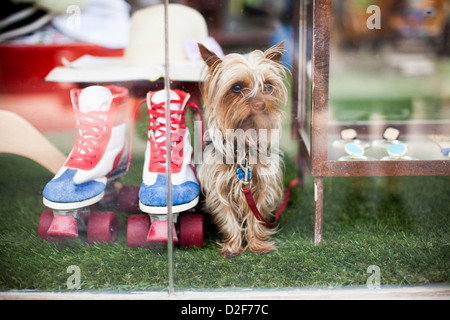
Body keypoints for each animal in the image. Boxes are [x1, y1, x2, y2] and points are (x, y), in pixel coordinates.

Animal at [197, 42, 288, 258]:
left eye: (268, 86)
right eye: (236, 87)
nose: (260, 104)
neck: (245, 141)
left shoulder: (263, 184)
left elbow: (257, 214)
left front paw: (257, 245)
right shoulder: (218, 185)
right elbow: (227, 217)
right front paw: (232, 247)